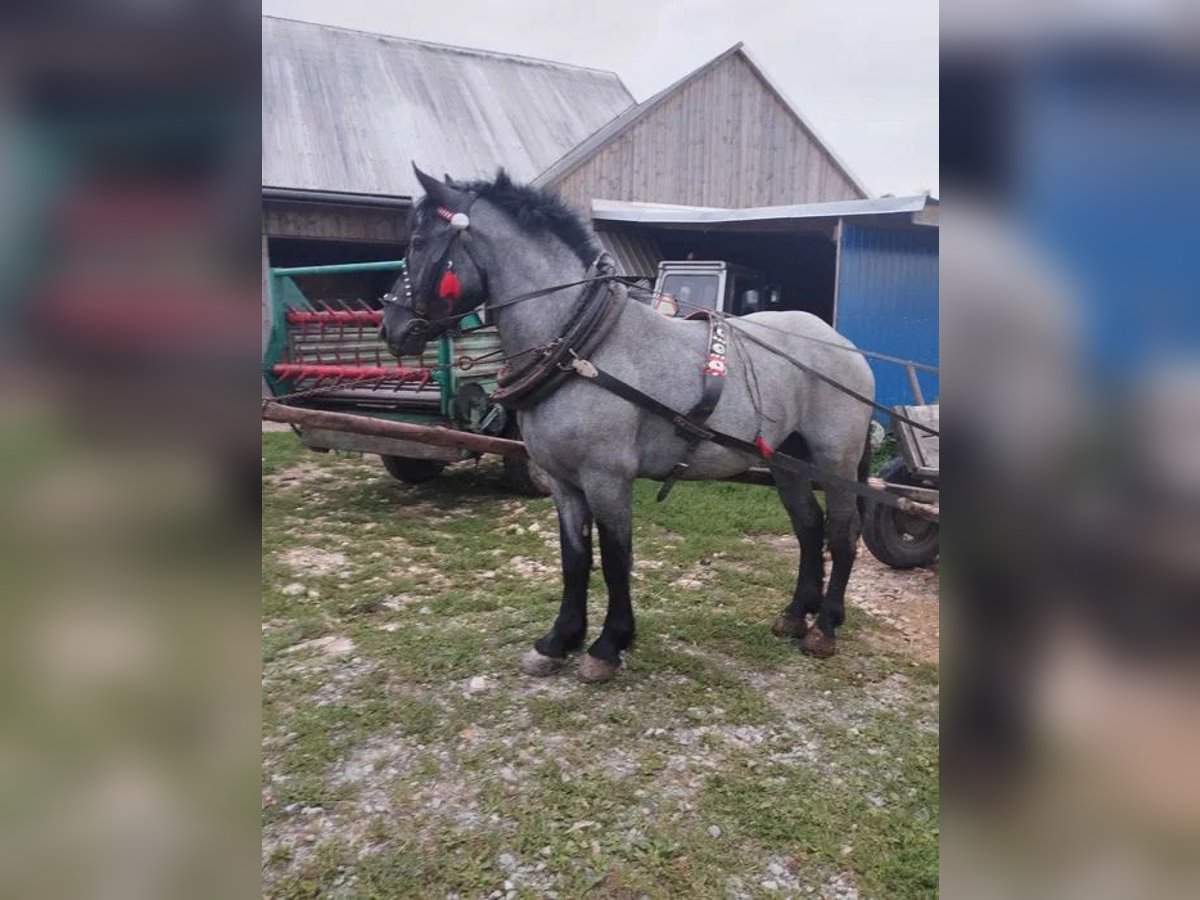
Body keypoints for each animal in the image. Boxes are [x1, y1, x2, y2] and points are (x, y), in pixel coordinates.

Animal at [384, 168, 873, 681]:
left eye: (418, 241)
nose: (390, 327)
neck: (582, 348)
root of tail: (841, 343)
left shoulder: (607, 478)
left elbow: (617, 557)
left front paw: (608, 645)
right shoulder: (563, 482)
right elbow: (575, 559)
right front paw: (558, 640)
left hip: (834, 460)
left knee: (842, 532)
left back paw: (825, 627)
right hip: (788, 461)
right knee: (809, 527)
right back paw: (796, 615)